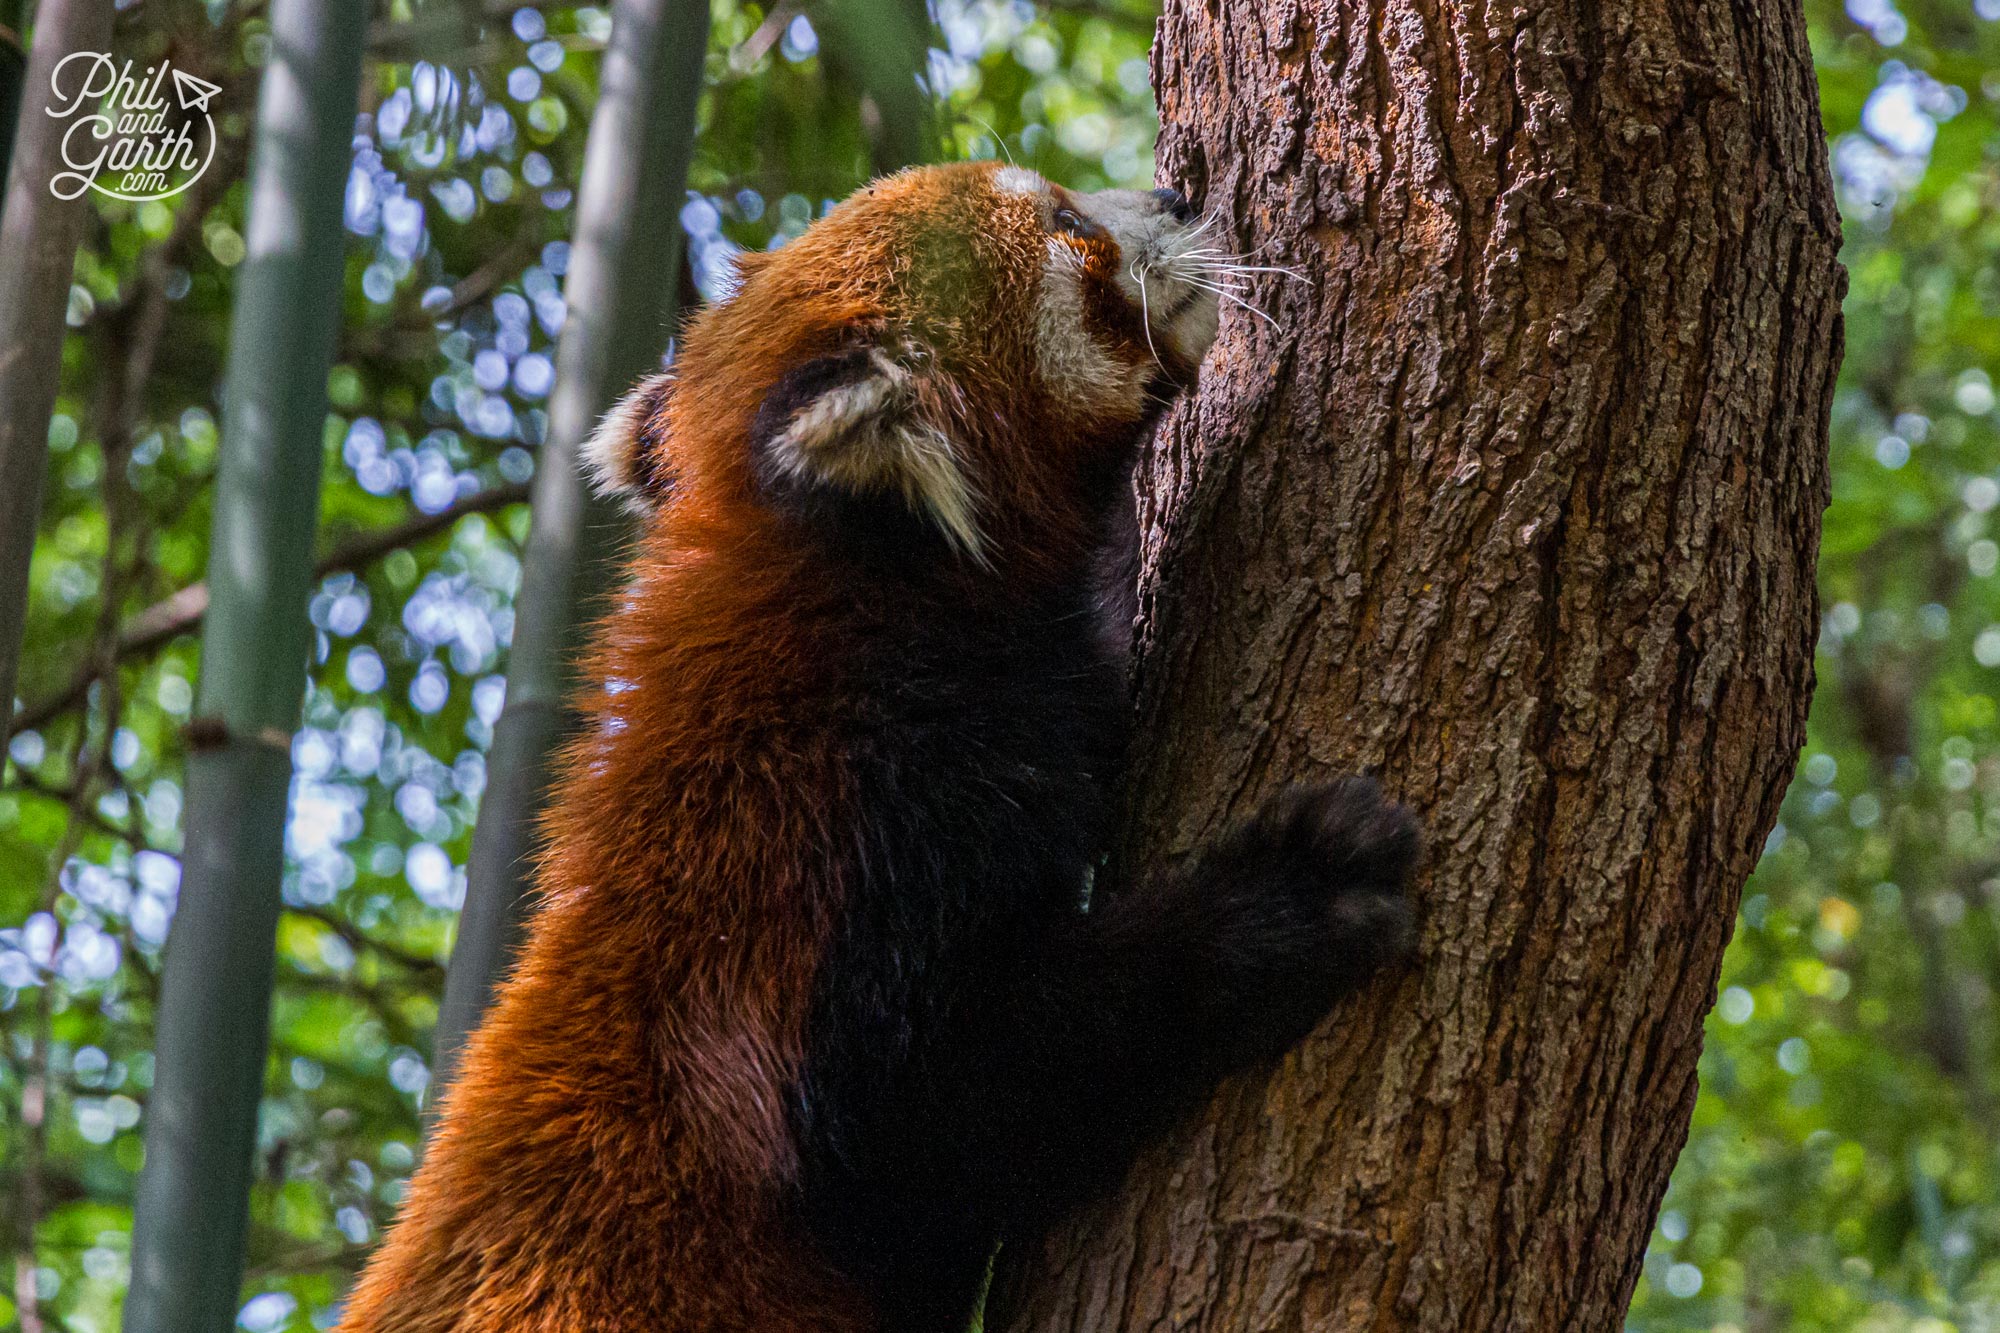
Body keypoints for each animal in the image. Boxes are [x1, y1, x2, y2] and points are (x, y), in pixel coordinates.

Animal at [336, 163, 1416, 1328]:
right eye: (1066, 221)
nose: (1176, 198)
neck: (848, 589)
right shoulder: (823, 880)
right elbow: (940, 1114)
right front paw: (1298, 887)